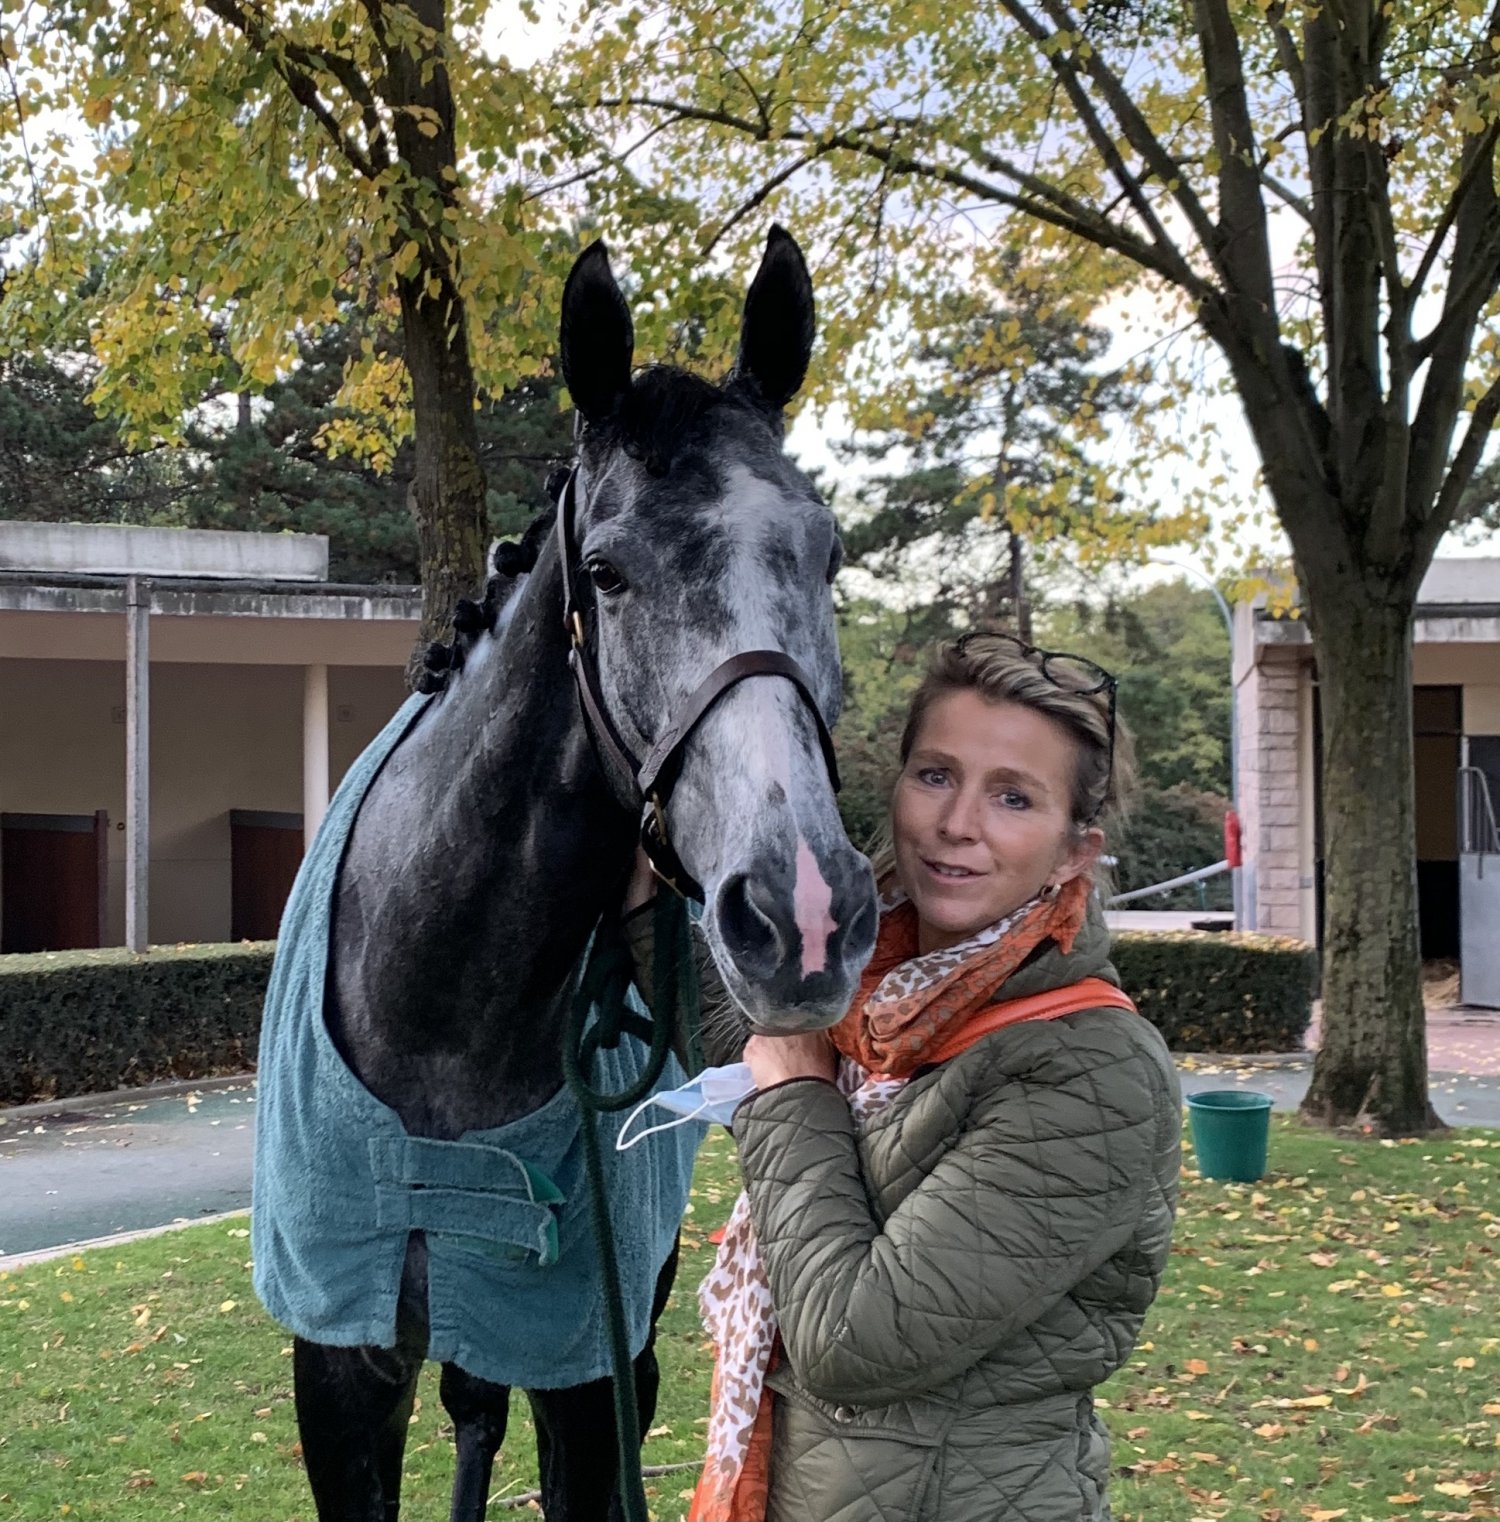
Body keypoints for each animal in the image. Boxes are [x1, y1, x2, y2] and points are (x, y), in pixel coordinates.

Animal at [250, 227, 878, 1522]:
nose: (802, 910)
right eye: (609, 569)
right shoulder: (336, 1373)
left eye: (828, 551)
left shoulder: (585, 1366)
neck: (441, 1010)